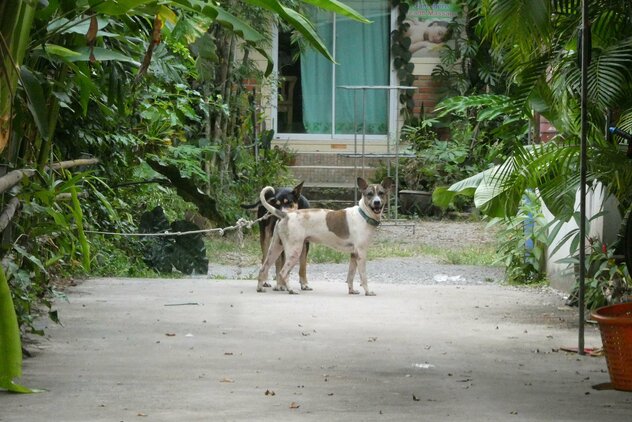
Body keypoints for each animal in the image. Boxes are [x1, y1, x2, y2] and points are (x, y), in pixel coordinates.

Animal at [256, 176, 392, 296]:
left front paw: (351, 290)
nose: (377, 202)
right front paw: (368, 292)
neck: (363, 214)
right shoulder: (361, 254)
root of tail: (286, 215)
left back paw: (260, 288)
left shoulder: (354, 255)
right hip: (294, 251)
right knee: (283, 272)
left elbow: (350, 276)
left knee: (263, 268)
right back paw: (291, 290)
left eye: (381, 193)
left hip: (275, 249)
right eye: (369, 194)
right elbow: (363, 277)